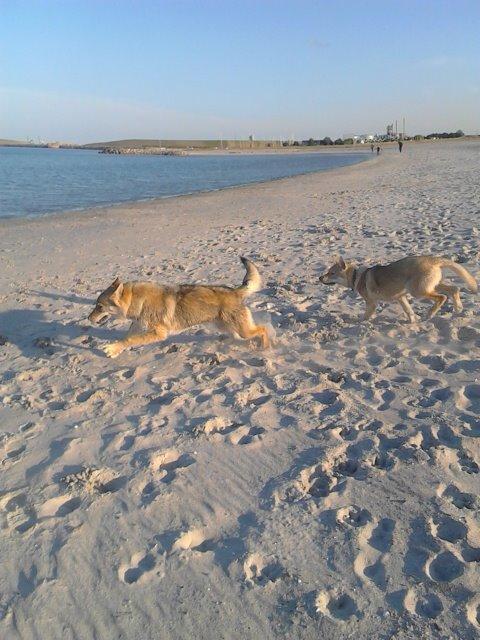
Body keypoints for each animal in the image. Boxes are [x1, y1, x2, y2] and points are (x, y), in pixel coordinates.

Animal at [89, 258, 270, 358]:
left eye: (99, 306)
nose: (88, 318)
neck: (138, 300)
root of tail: (235, 291)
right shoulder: (138, 325)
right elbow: (126, 338)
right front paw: (115, 350)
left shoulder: (158, 333)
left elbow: (130, 340)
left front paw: (112, 348)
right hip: (227, 327)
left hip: (242, 329)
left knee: (263, 329)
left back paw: (266, 347)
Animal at [318, 255, 476, 322]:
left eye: (331, 273)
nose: (319, 278)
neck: (357, 276)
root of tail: (432, 259)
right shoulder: (401, 297)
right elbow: (409, 312)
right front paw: (413, 322)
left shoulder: (371, 303)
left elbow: (365, 317)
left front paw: (359, 324)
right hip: (431, 286)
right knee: (455, 289)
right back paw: (458, 309)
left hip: (417, 291)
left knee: (442, 297)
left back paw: (431, 314)